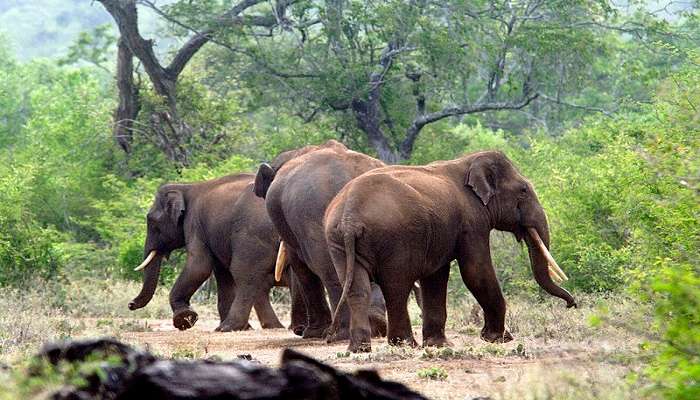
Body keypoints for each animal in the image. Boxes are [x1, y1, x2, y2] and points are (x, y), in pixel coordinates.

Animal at [129, 173, 306, 332]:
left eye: (151, 221)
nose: (131, 304)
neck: (185, 186)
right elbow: (222, 274)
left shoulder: (194, 223)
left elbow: (199, 267)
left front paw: (184, 319)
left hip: (252, 236)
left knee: (244, 273)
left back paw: (227, 328)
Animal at [254, 141, 388, 340]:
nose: (297, 329)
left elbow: (299, 263)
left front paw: (311, 333)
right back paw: (375, 327)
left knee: (328, 268)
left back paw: (340, 334)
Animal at [326, 152, 576, 352]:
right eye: (523, 190)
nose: (571, 305)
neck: (468, 161)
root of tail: (349, 216)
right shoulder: (472, 222)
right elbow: (476, 272)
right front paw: (499, 339)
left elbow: (436, 276)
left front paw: (439, 345)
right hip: (394, 239)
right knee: (396, 286)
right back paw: (404, 344)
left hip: (338, 243)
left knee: (358, 289)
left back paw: (360, 348)